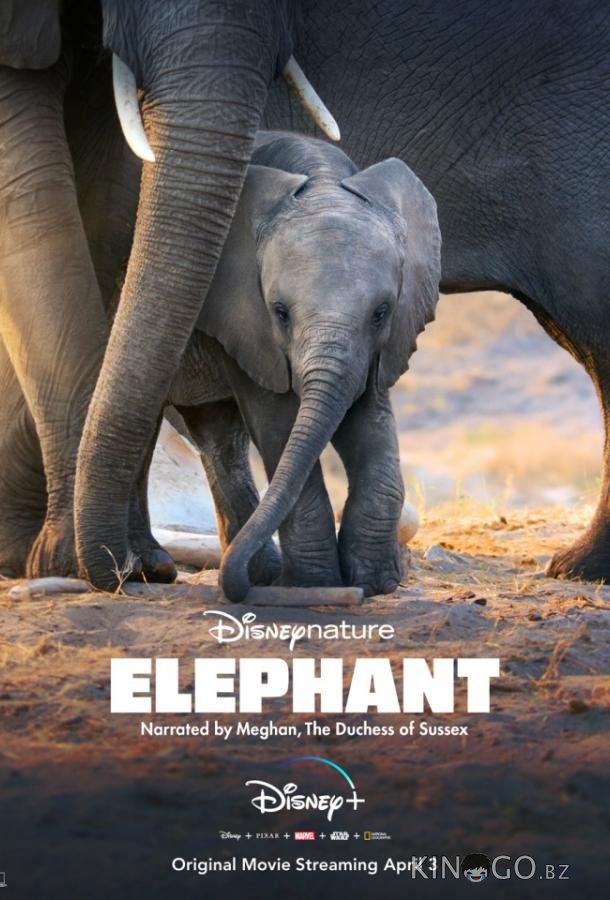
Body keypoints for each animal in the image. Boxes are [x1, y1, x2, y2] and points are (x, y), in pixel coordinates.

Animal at [164, 131, 440, 601]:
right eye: (280, 312)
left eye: (381, 313)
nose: (233, 587)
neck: (322, 180)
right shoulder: (243, 316)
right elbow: (279, 422)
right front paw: (316, 585)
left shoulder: (380, 347)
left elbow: (369, 419)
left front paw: (376, 583)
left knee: (217, 435)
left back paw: (259, 573)